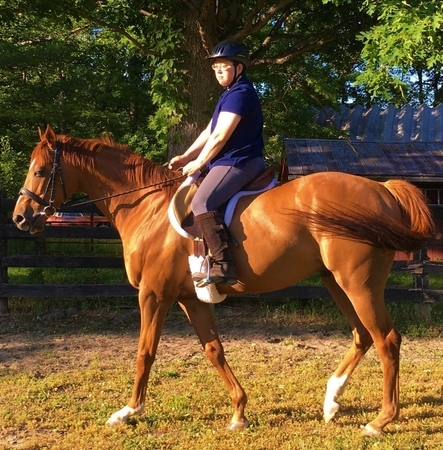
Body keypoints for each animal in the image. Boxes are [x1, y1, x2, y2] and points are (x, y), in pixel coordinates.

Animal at [12, 125, 436, 434]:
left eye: (40, 170)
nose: (19, 217)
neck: (147, 210)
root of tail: (383, 189)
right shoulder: (190, 298)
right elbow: (214, 350)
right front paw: (239, 412)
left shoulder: (153, 295)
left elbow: (145, 352)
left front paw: (128, 412)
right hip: (336, 282)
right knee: (363, 335)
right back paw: (331, 402)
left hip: (359, 284)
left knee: (387, 340)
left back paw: (380, 421)